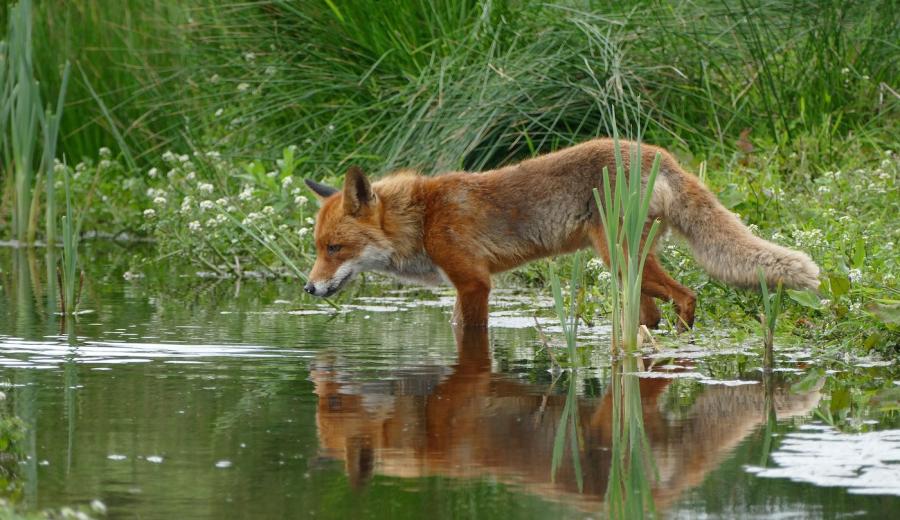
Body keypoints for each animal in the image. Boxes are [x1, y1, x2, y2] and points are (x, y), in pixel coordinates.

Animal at [306, 138, 820, 330]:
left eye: (335, 248)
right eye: (317, 249)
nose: (308, 288)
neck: (423, 217)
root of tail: (659, 154)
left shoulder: (474, 283)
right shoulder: (464, 285)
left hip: (619, 259)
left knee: (688, 295)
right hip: (629, 269)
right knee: (653, 313)